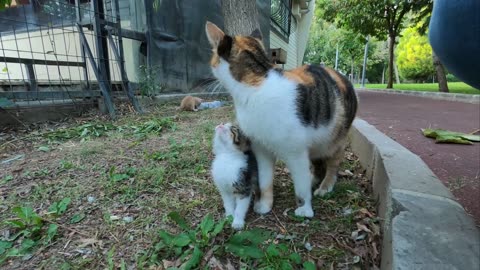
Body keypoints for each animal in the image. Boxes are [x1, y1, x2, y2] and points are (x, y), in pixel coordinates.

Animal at [204, 22, 358, 218]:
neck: (257, 84)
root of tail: (343, 76)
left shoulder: (296, 152)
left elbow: (300, 186)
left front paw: (305, 209)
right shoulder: (260, 148)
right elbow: (264, 180)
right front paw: (264, 205)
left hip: (333, 140)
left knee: (332, 164)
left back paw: (325, 186)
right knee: (317, 164)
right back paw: (313, 179)